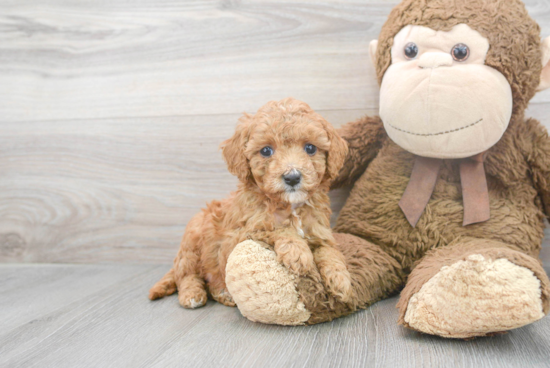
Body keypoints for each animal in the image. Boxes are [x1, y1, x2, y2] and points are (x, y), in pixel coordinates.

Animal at [149, 97, 352, 308]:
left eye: (310, 148)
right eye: (266, 150)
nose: (292, 177)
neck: (289, 205)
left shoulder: (320, 233)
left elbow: (330, 252)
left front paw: (341, 281)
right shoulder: (241, 235)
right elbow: (276, 229)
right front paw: (297, 252)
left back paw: (223, 293)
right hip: (192, 241)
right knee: (187, 275)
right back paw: (192, 294)